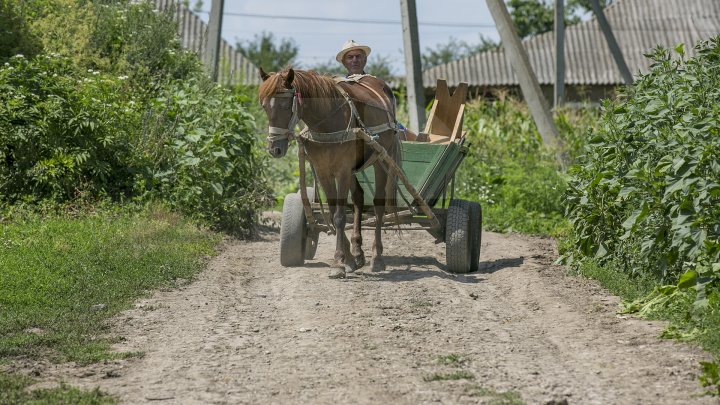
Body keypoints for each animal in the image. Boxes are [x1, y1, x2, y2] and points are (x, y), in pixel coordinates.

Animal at [258, 68, 402, 278]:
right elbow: (334, 213)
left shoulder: (342, 171)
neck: (326, 122)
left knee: (378, 205)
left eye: (285, 106)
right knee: (358, 198)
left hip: (382, 157)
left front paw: (339, 262)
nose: (274, 149)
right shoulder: (323, 171)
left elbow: (340, 217)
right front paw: (348, 260)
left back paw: (377, 258)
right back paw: (358, 253)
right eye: (264, 106)